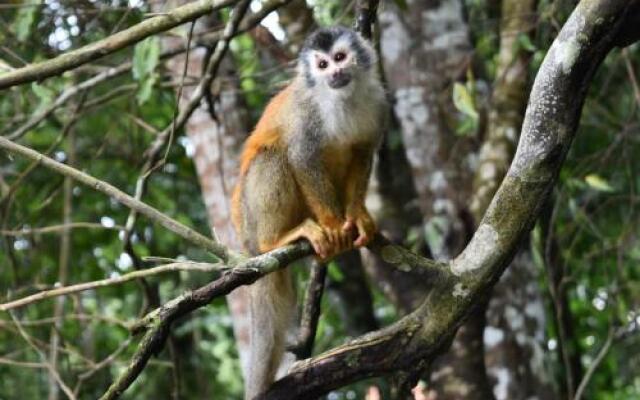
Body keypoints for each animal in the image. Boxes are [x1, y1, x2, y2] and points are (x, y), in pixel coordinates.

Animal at [232, 26, 388, 398]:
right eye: (321, 64)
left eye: (340, 57)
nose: (334, 73)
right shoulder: (307, 113)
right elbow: (302, 156)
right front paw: (333, 225)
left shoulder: (378, 102)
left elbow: (363, 152)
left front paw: (357, 216)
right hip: (250, 215)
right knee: (273, 157)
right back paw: (277, 239)